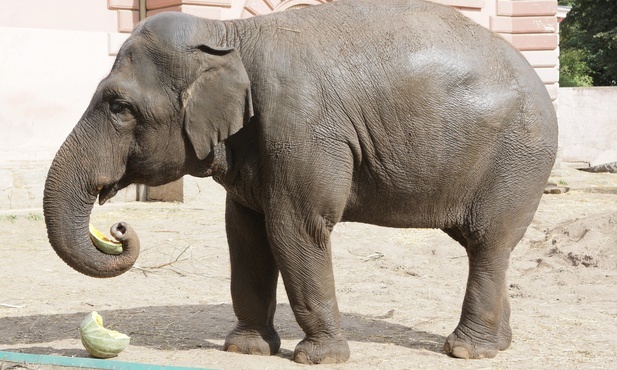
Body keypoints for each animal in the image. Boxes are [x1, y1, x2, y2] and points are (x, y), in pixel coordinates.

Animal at [44, 0, 560, 364]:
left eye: (118, 106)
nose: (119, 229)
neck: (229, 35)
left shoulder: (301, 127)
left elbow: (296, 229)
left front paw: (320, 358)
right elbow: (245, 235)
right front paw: (246, 349)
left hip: (517, 159)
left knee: (488, 244)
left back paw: (468, 350)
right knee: (491, 248)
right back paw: (500, 344)